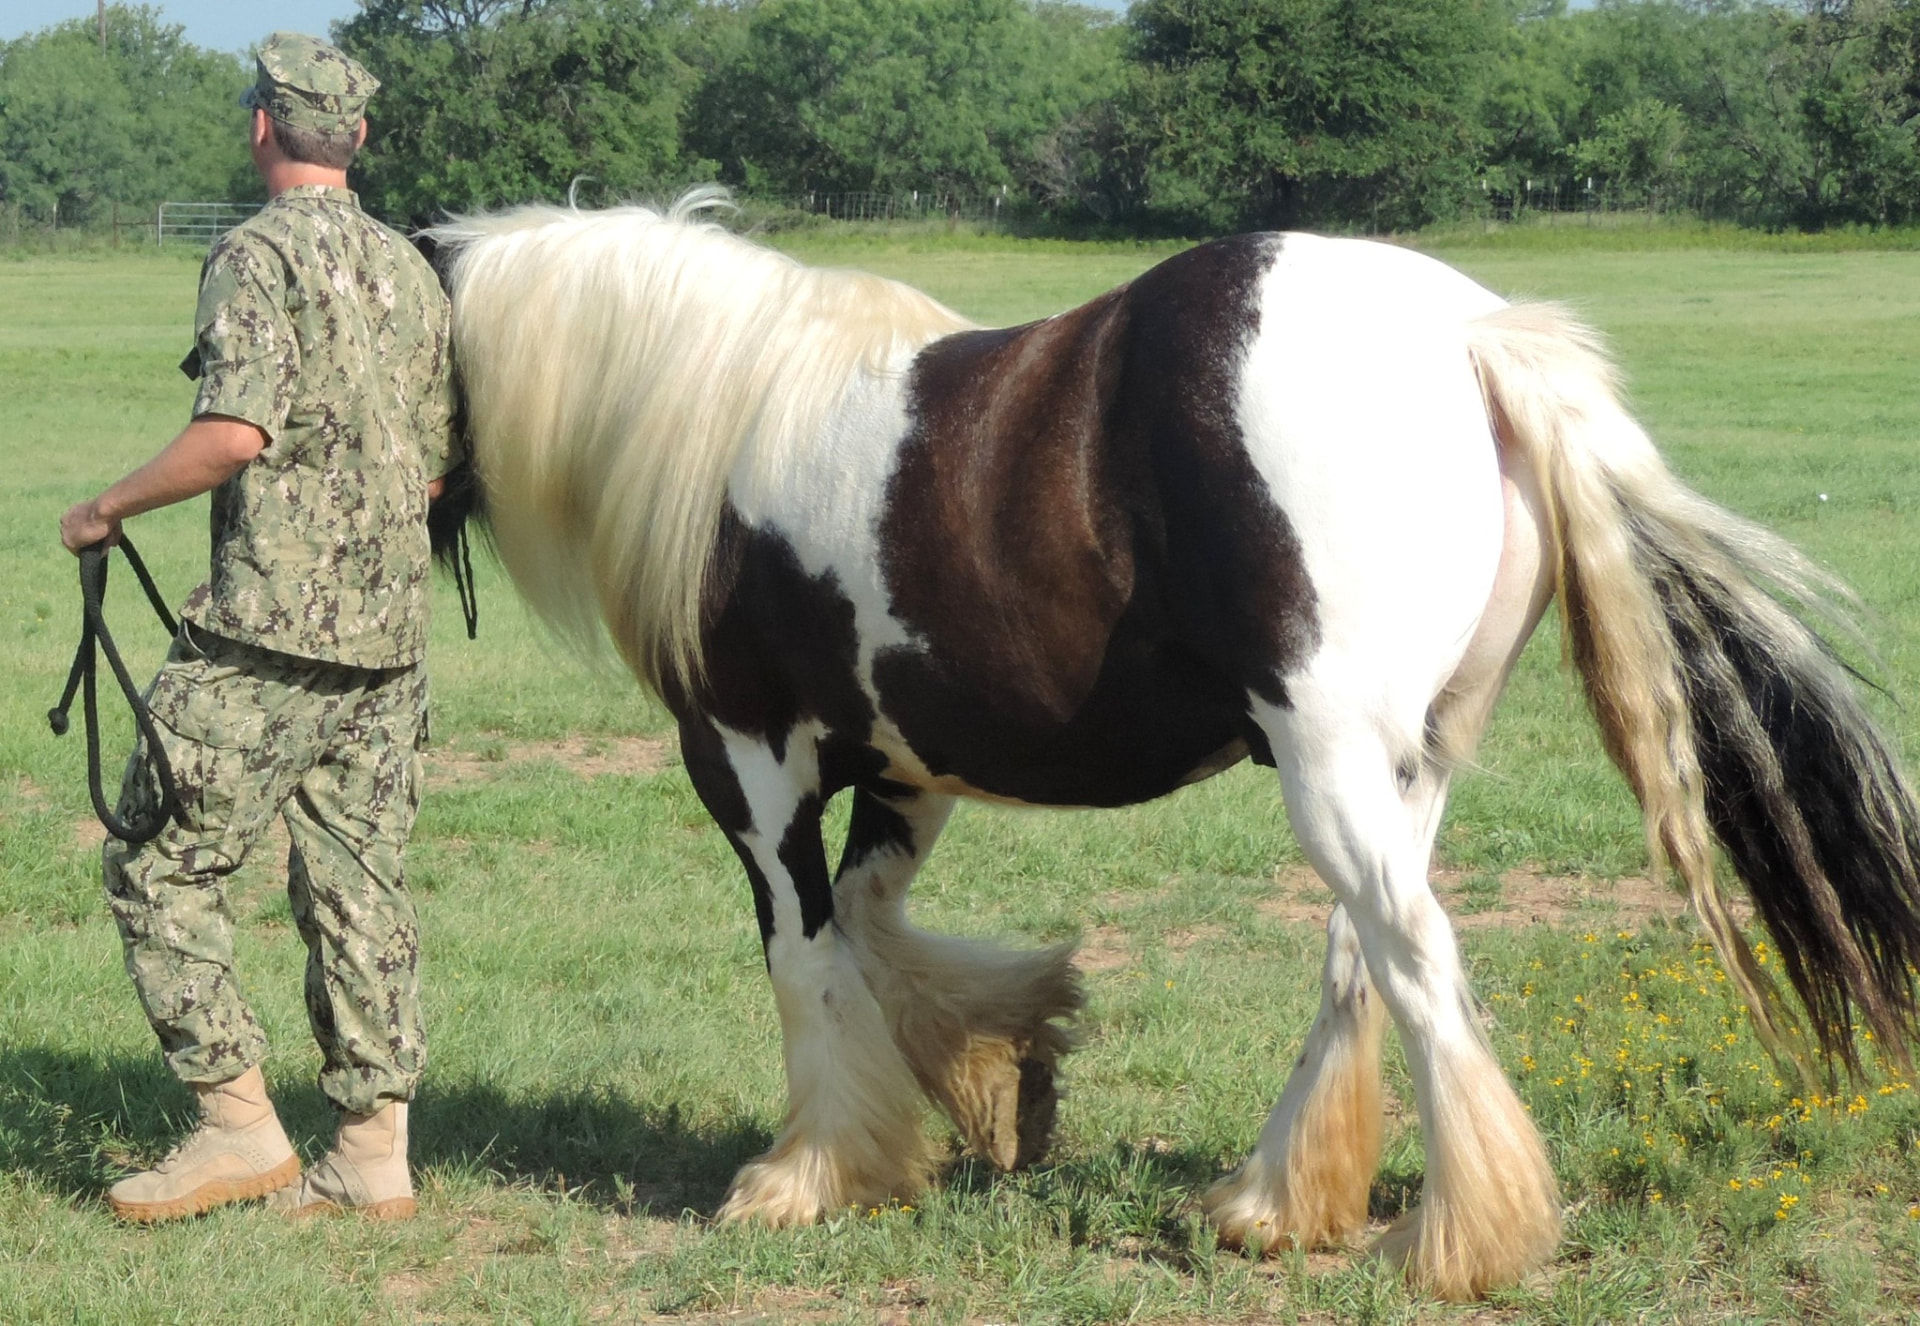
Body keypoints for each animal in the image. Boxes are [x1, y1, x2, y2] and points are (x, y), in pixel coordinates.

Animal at [426, 195, 1920, 1300]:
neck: (723, 412)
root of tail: (1473, 337)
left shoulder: (748, 758)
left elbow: (810, 956)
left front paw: (811, 1176)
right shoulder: (905, 768)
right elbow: (875, 926)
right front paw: (1006, 1080)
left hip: (1331, 766)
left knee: (1414, 960)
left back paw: (1457, 1241)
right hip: (1406, 767)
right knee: (1362, 957)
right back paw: (1272, 1204)